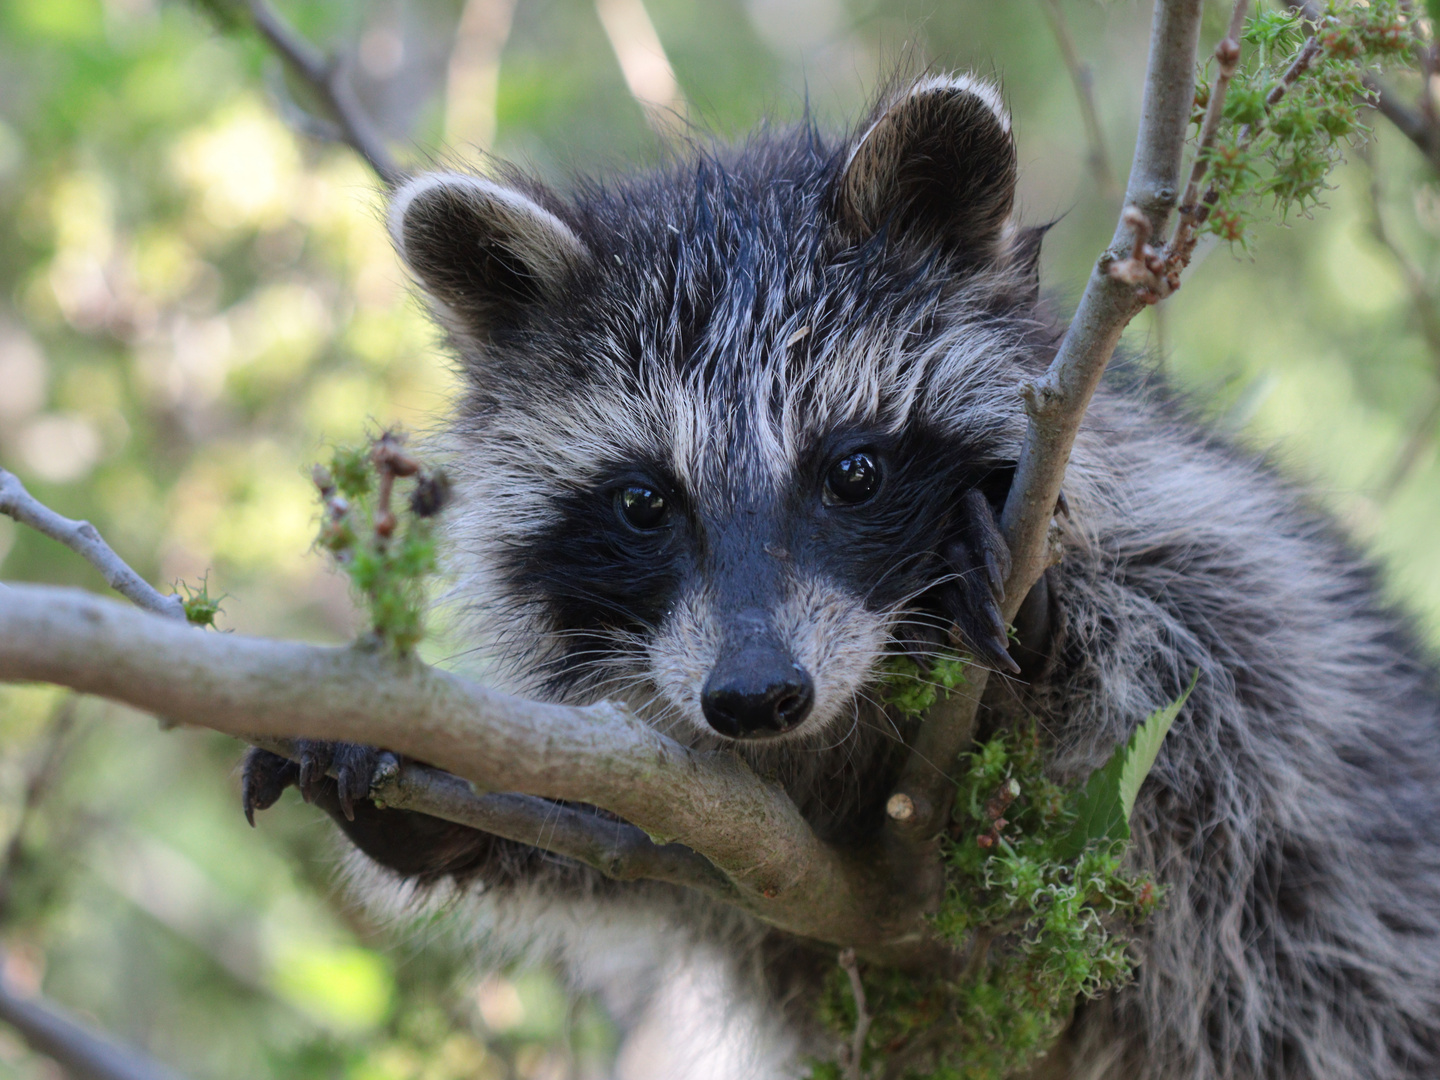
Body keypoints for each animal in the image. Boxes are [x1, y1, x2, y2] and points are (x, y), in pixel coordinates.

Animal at [241, 78, 1440, 1080]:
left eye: (854, 472)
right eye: (644, 503)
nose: (756, 695)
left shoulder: (1207, 552)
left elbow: (1206, 692)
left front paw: (1043, 629)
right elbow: (629, 823)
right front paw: (446, 802)